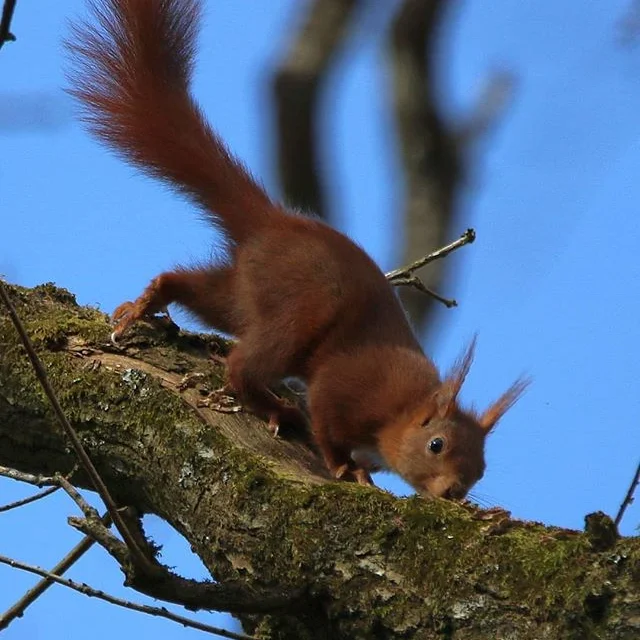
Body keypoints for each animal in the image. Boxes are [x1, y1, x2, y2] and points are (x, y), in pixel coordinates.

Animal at [67, 0, 527, 499]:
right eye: (436, 445)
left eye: (481, 469)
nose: (452, 493)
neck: (404, 406)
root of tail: (274, 220)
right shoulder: (343, 385)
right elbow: (326, 421)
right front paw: (346, 467)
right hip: (295, 315)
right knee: (244, 367)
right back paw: (275, 408)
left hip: (246, 293)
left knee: (192, 288)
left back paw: (145, 303)